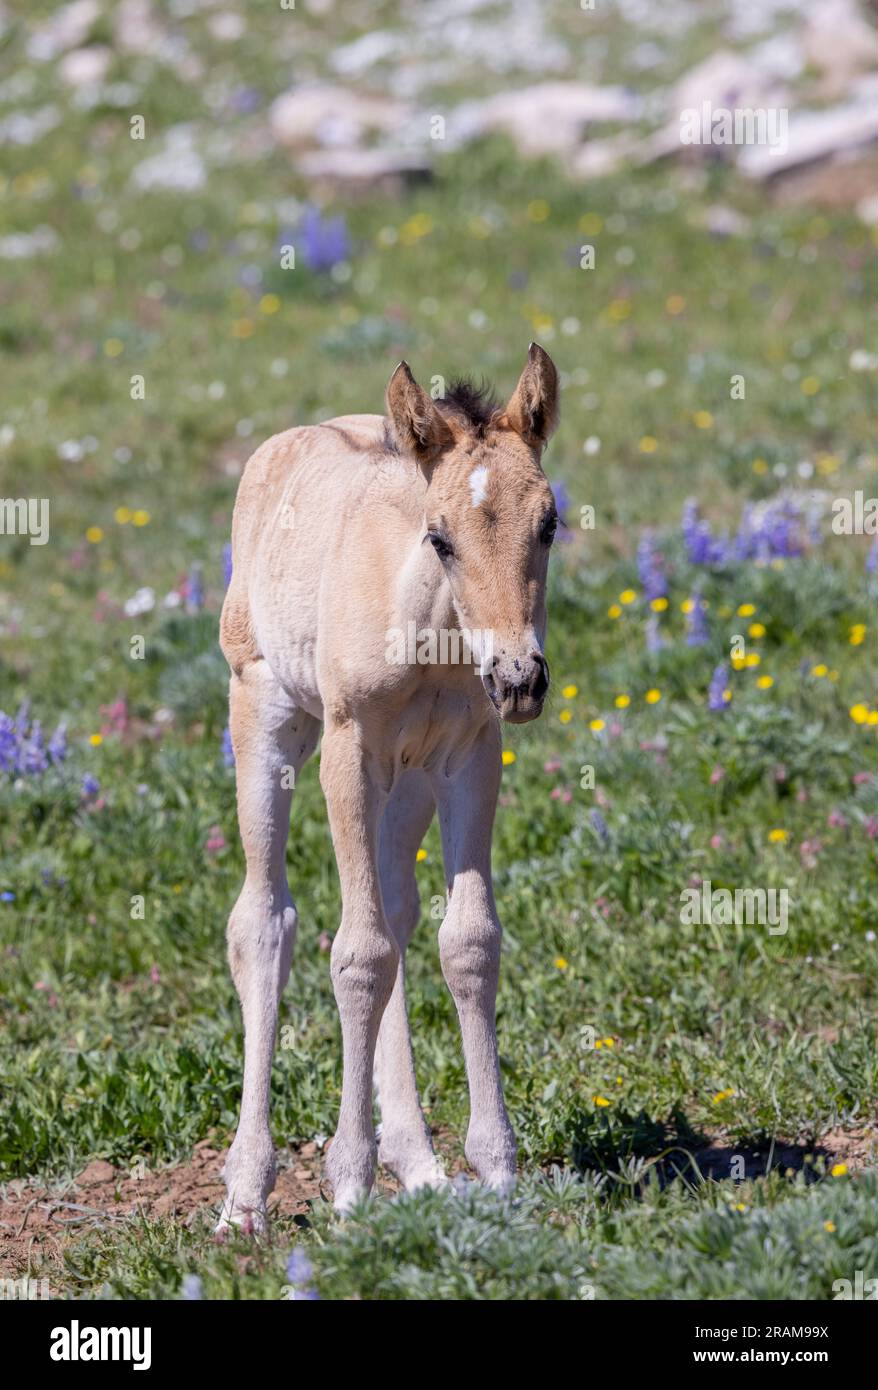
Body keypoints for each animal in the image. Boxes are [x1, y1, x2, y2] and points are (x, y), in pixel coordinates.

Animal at [216, 344, 558, 1228]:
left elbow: (467, 941)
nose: (520, 680)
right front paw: (347, 1181)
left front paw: (496, 1170)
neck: (432, 628)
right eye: (439, 537)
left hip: (409, 784)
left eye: (550, 522)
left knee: (400, 913)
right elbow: (356, 952)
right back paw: (246, 1192)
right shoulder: (349, 751)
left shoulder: (471, 753)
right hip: (264, 715)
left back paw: (419, 1161)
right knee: (263, 922)